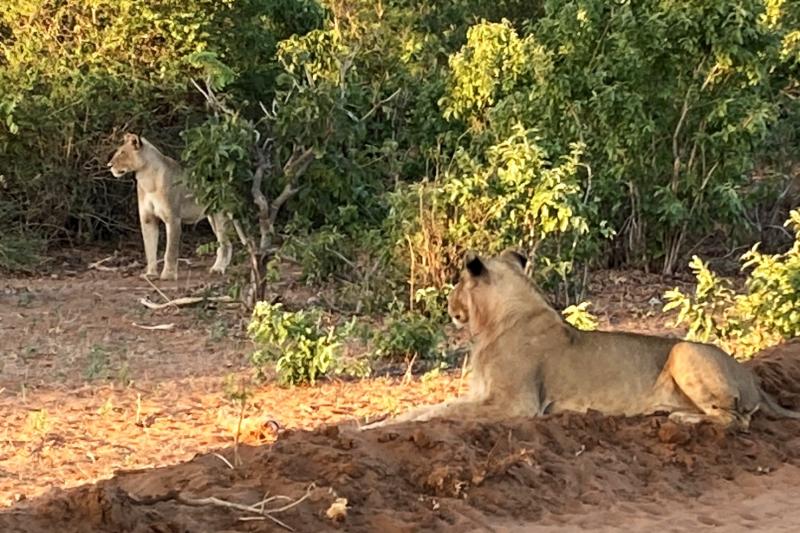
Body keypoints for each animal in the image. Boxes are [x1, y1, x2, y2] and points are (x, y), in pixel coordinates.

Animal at [108, 132, 231, 278]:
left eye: (123, 153)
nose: (109, 165)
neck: (147, 179)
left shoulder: (173, 218)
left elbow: (170, 251)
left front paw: (168, 275)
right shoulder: (147, 219)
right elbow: (149, 249)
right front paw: (150, 274)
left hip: (220, 214)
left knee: (225, 243)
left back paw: (218, 268)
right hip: (212, 216)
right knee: (227, 243)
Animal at [364, 251, 800, 430]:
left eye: (458, 282)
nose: (448, 304)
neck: (494, 324)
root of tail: (754, 378)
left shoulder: (518, 405)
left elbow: (443, 412)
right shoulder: (483, 394)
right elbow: (428, 407)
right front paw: (374, 422)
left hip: (682, 349)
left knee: (737, 420)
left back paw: (682, 419)